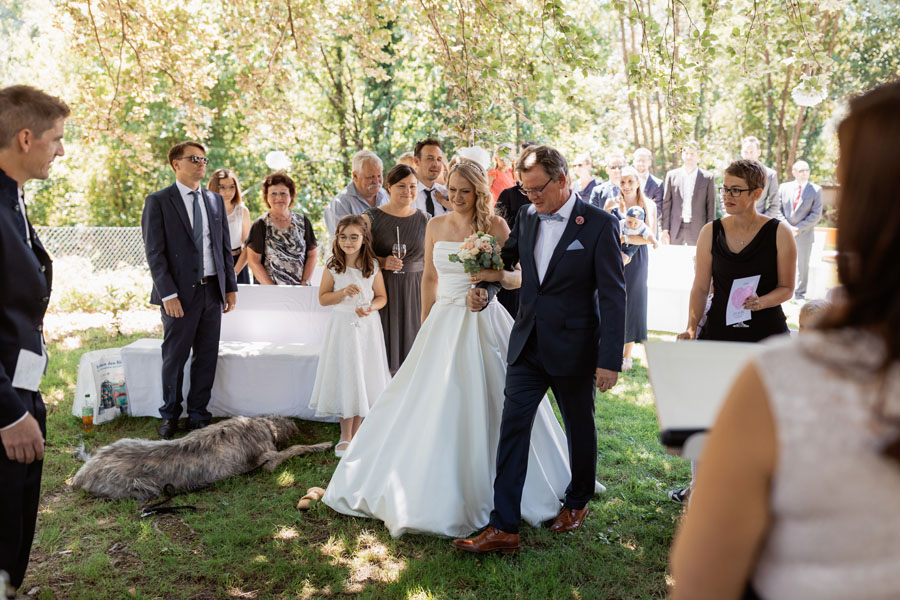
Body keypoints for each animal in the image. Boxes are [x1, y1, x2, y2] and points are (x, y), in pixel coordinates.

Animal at [71, 414, 330, 500]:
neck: (260, 425)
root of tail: (86, 469)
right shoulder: (270, 459)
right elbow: (295, 449)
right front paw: (323, 444)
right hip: (137, 488)